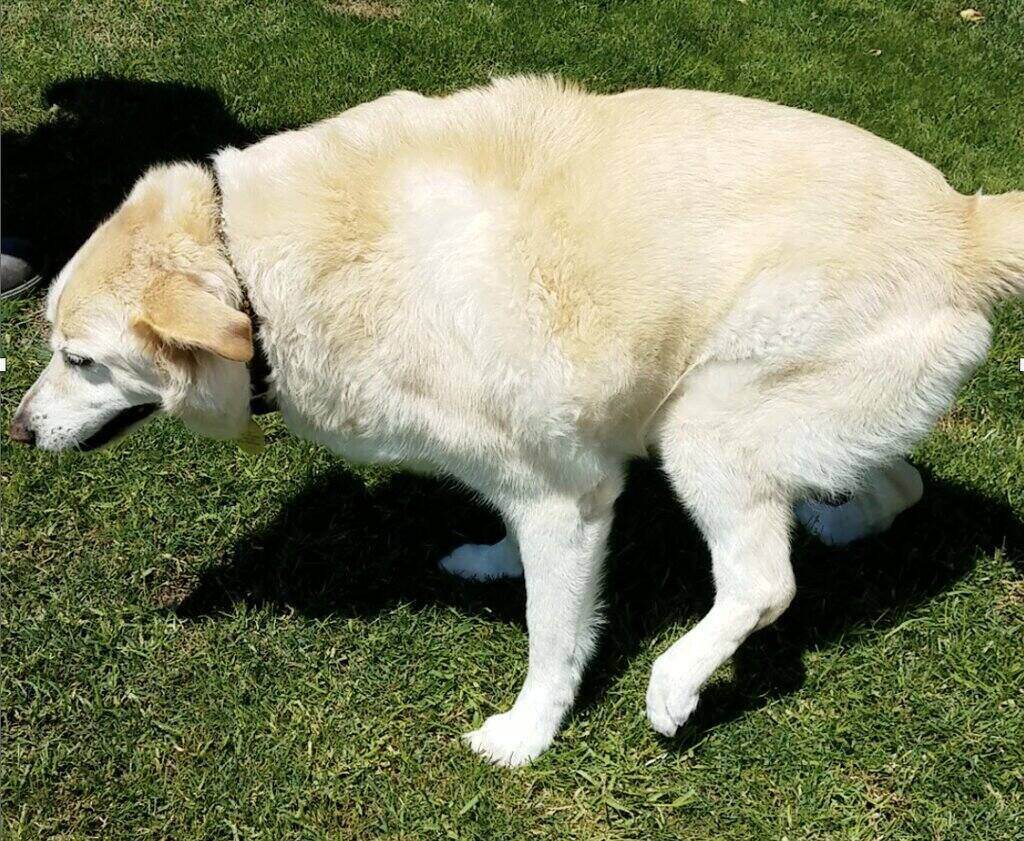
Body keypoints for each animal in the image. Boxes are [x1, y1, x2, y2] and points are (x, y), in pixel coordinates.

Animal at [12, 75, 1019, 766]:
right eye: (56, 342)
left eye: (81, 359)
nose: (18, 432)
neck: (255, 270)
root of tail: (966, 220)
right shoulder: (520, 474)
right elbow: (507, 534)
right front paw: (493, 560)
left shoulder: (567, 496)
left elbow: (554, 633)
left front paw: (528, 734)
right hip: (804, 418)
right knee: (899, 482)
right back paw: (835, 518)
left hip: (702, 429)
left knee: (764, 583)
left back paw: (677, 680)